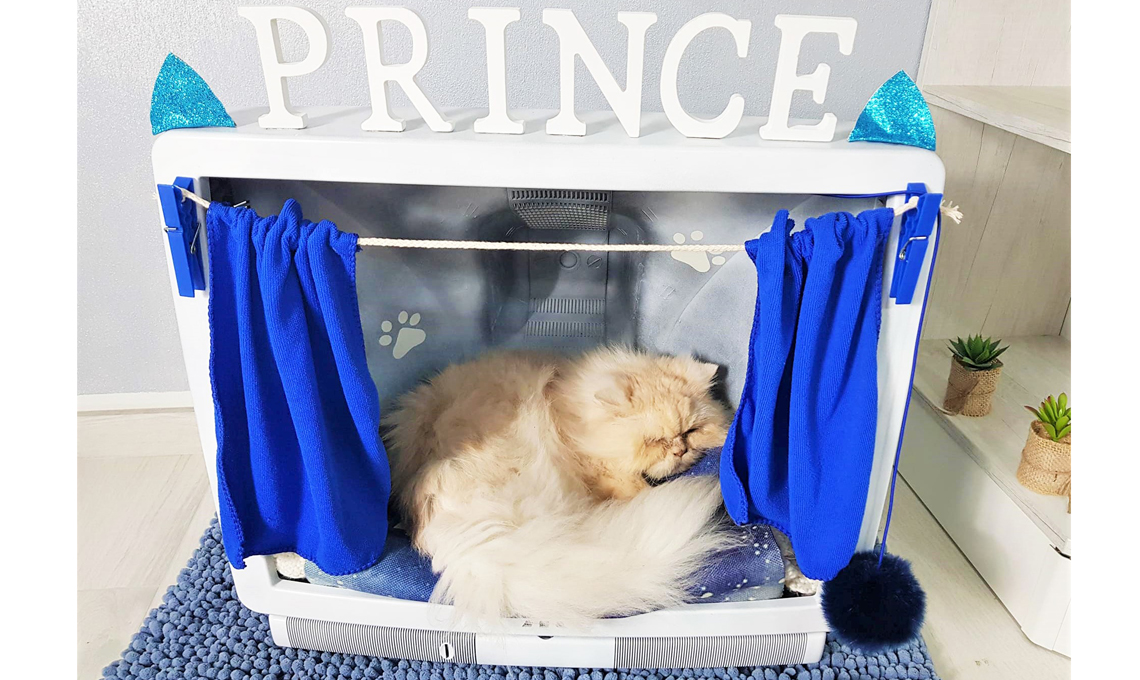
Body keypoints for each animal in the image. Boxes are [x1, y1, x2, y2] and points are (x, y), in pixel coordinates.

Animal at [382, 346, 736, 624]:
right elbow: (632, 486)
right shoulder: (605, 471)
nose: (680, 451)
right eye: (655, 441)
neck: (570, 413)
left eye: (691, 432)